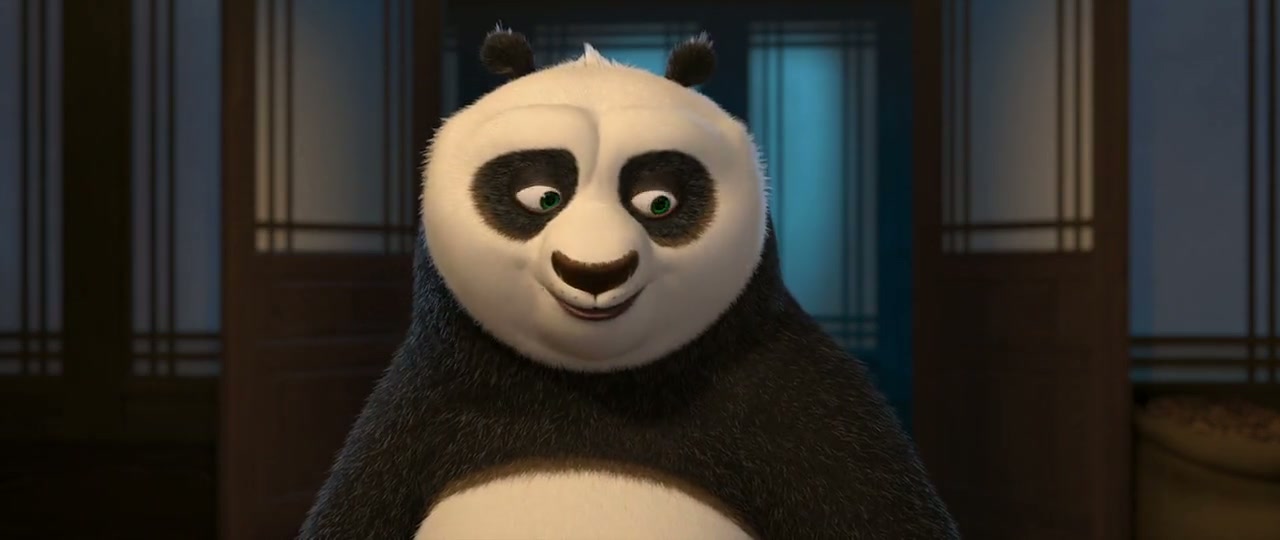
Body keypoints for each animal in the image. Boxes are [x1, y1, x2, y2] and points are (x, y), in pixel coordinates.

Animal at [299, 27, 959, 540]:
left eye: (658, 202)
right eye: (541, 196)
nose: (595, 271)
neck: (594, 385)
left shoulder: (799, 403)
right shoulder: (416, 415)